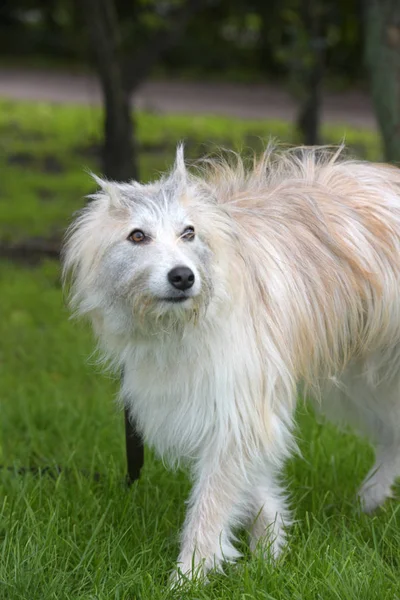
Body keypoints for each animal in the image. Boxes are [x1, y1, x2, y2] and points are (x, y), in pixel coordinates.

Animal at [61, 145, 400, 580]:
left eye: (188, 232)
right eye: (137, 236)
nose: (183, 276)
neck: (180, 324)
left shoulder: (239, 403)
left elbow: (212, 501)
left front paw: (189, 573)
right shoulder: (221, 404)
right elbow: (249, 483)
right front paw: (271, 544)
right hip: (365, 377)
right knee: (393, 433)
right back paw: (370, 499)